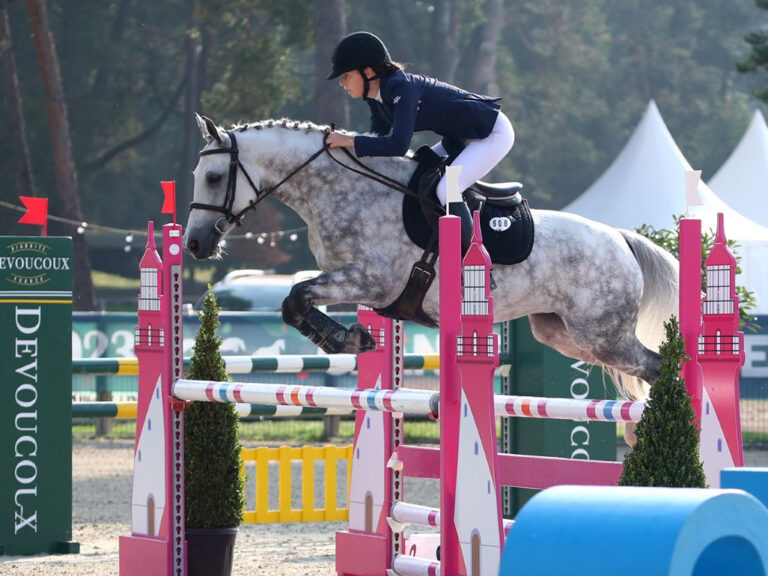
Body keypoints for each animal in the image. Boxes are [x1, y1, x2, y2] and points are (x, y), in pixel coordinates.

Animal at [184, 115, 679, 407]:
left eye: (214, 177)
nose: (195, 245)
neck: (344, 191)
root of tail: (619, 238)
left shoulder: (371, 281)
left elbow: (295, 296)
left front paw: (345, 338)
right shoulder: (349, 280)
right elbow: (294, 303)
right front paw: (351, 337)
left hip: (603, 334)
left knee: (657, 365)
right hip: (563, 333)